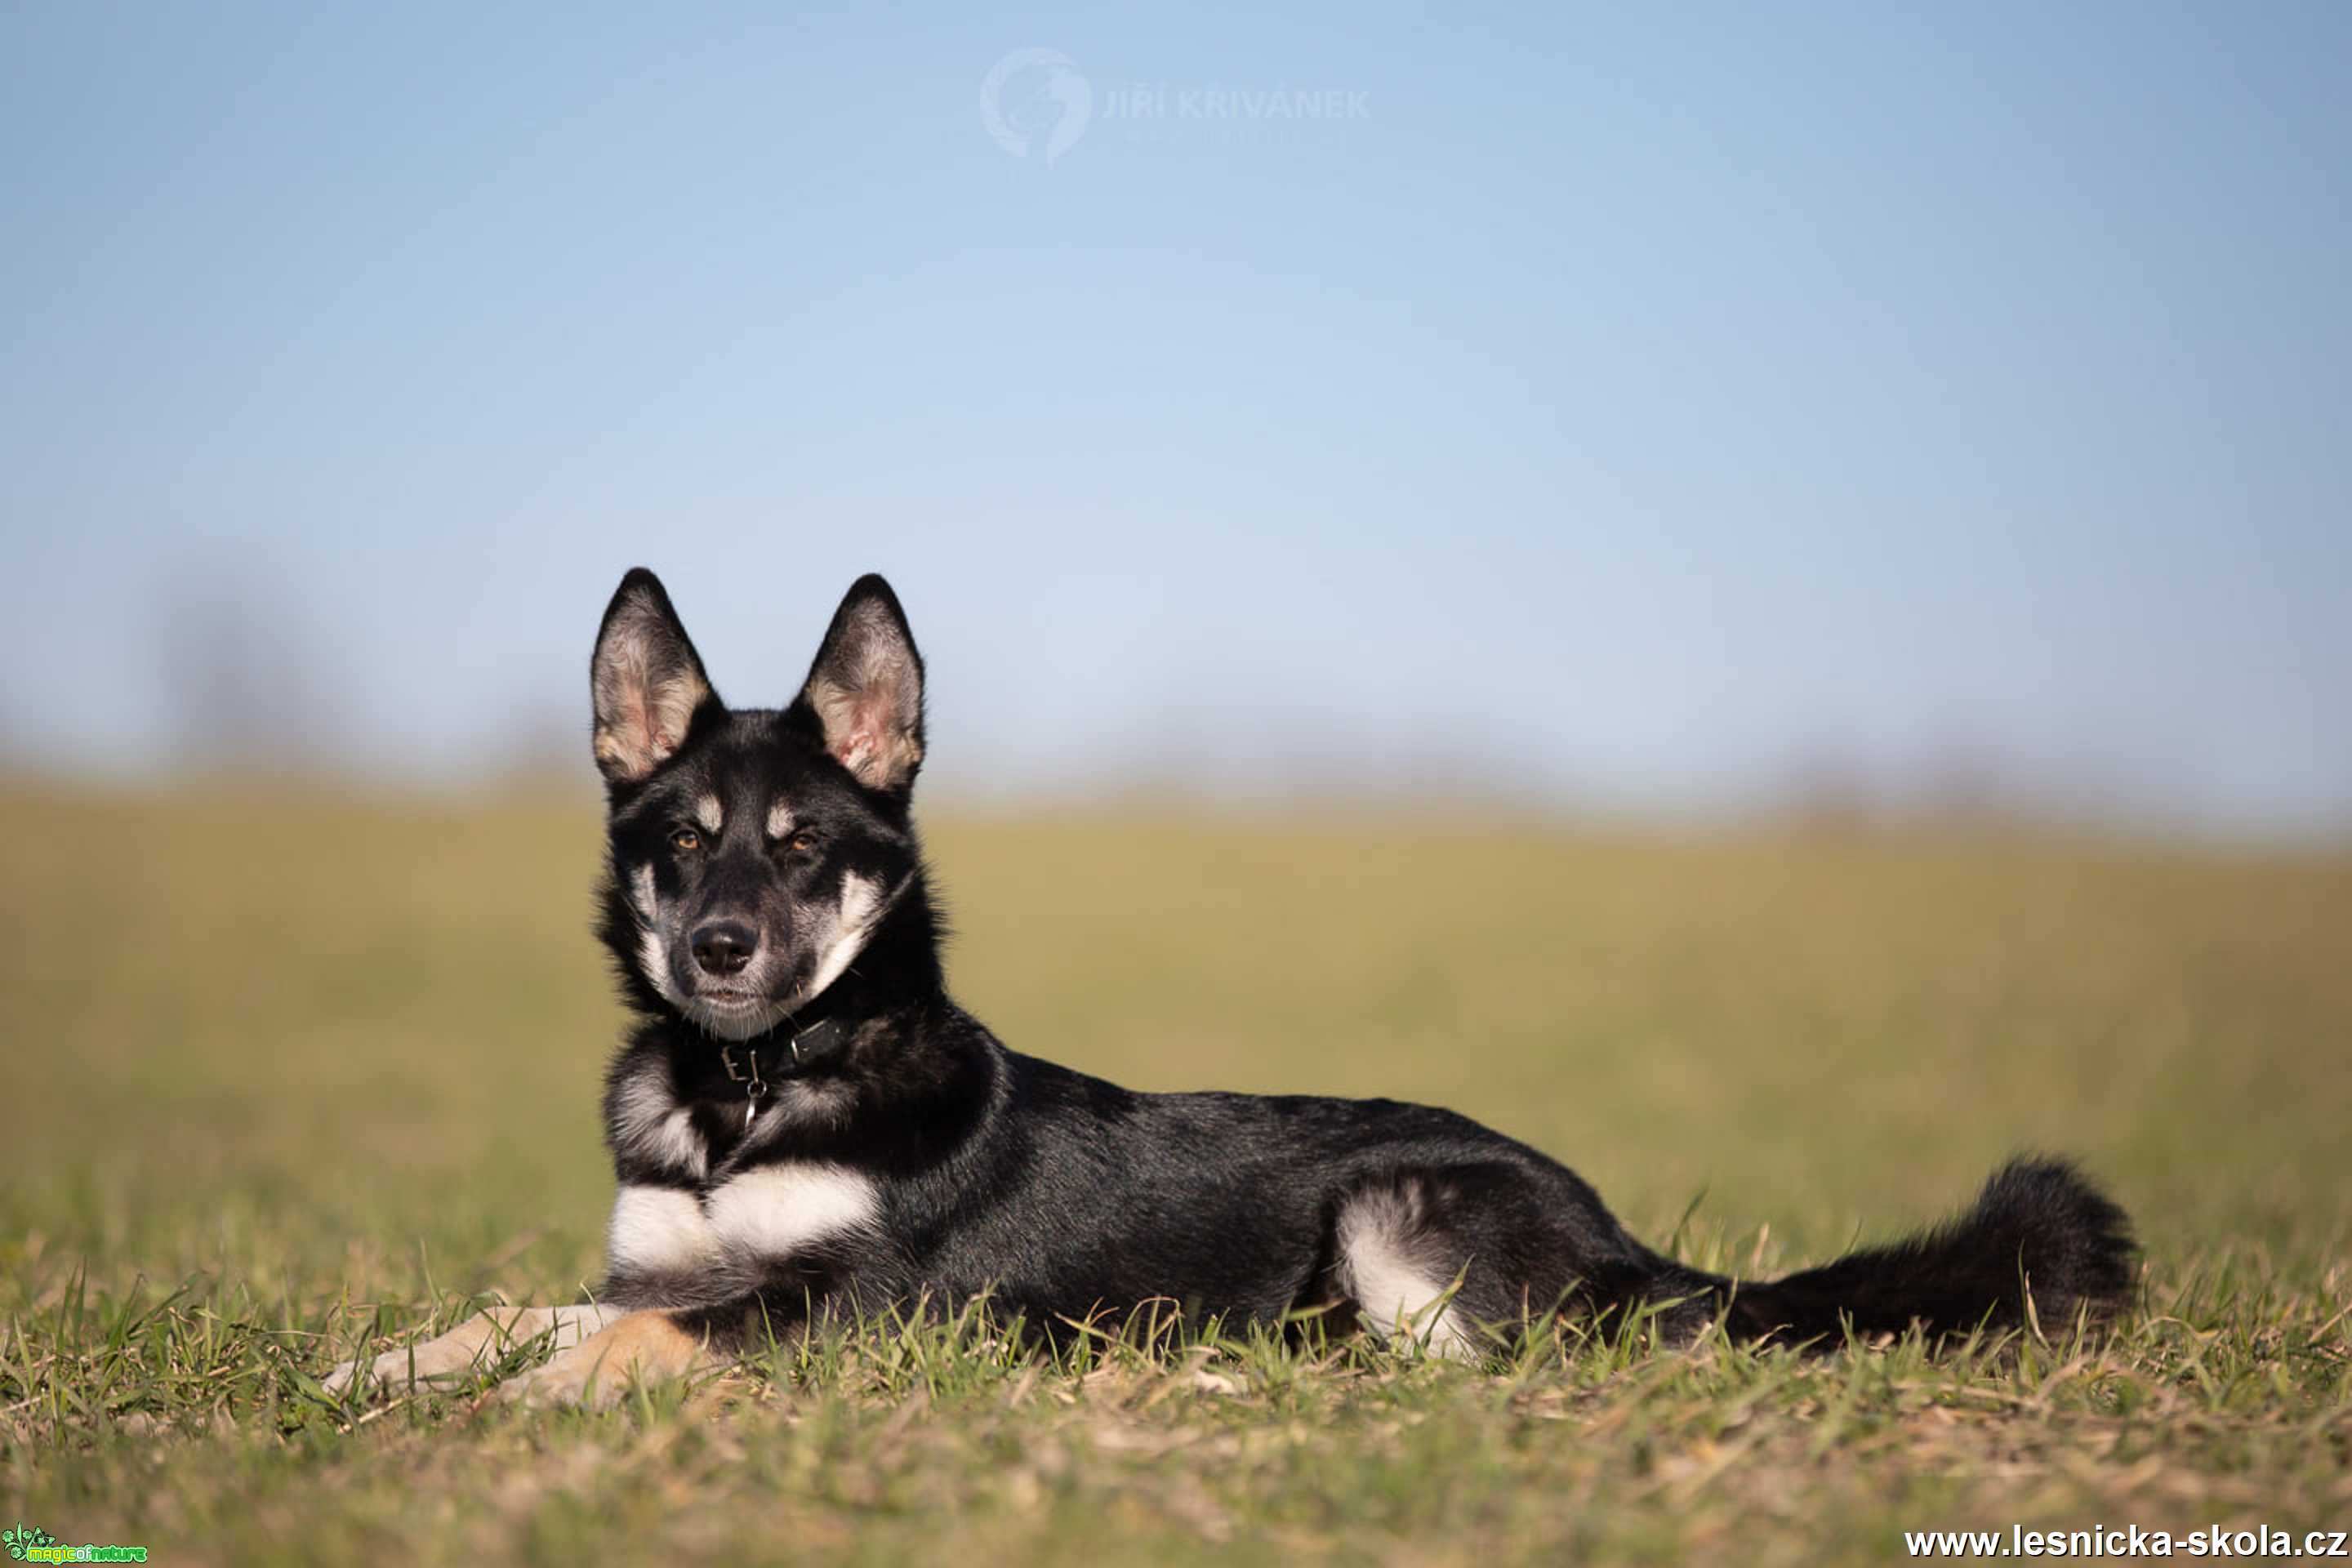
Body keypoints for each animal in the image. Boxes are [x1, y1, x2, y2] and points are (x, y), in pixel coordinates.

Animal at [322, 571, 2145, 1401]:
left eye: (803, 846)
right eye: (681, 841)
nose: (719, 952)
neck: (752, 1090)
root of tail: (1630, 1243)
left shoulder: (855, 1305)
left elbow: (640, 1347)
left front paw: (523, 1404)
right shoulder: (655, 1262)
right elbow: (532, 1307)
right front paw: (376, 1369)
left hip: (1398, 1222)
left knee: (1489, 1373)